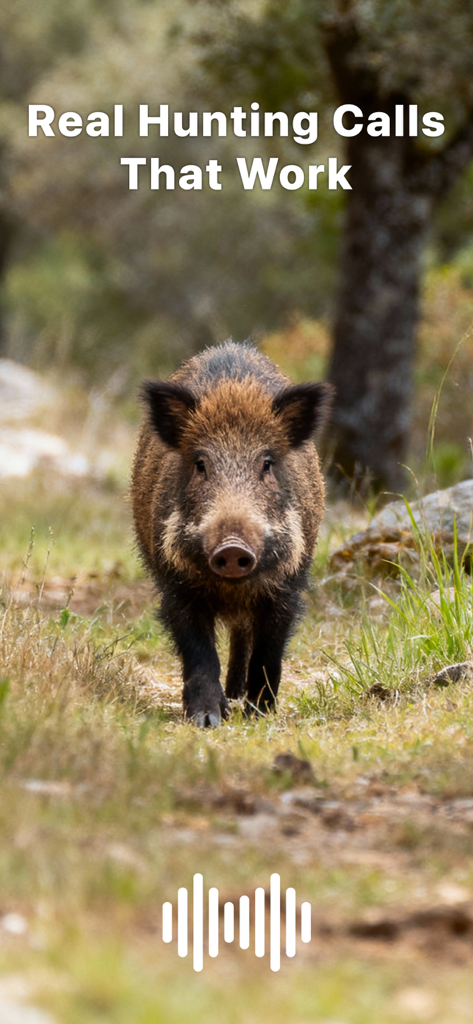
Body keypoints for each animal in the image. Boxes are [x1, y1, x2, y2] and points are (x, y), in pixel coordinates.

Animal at [131, 340, 332, 727]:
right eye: (200, 464)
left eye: (266, 463)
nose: (232, 548)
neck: (232, 587)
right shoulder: (176, 585)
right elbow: (199, 653)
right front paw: (207, 720)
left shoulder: (286, 586)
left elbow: (269, 653)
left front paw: (259, 715)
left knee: (244, 635)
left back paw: (240, 696)